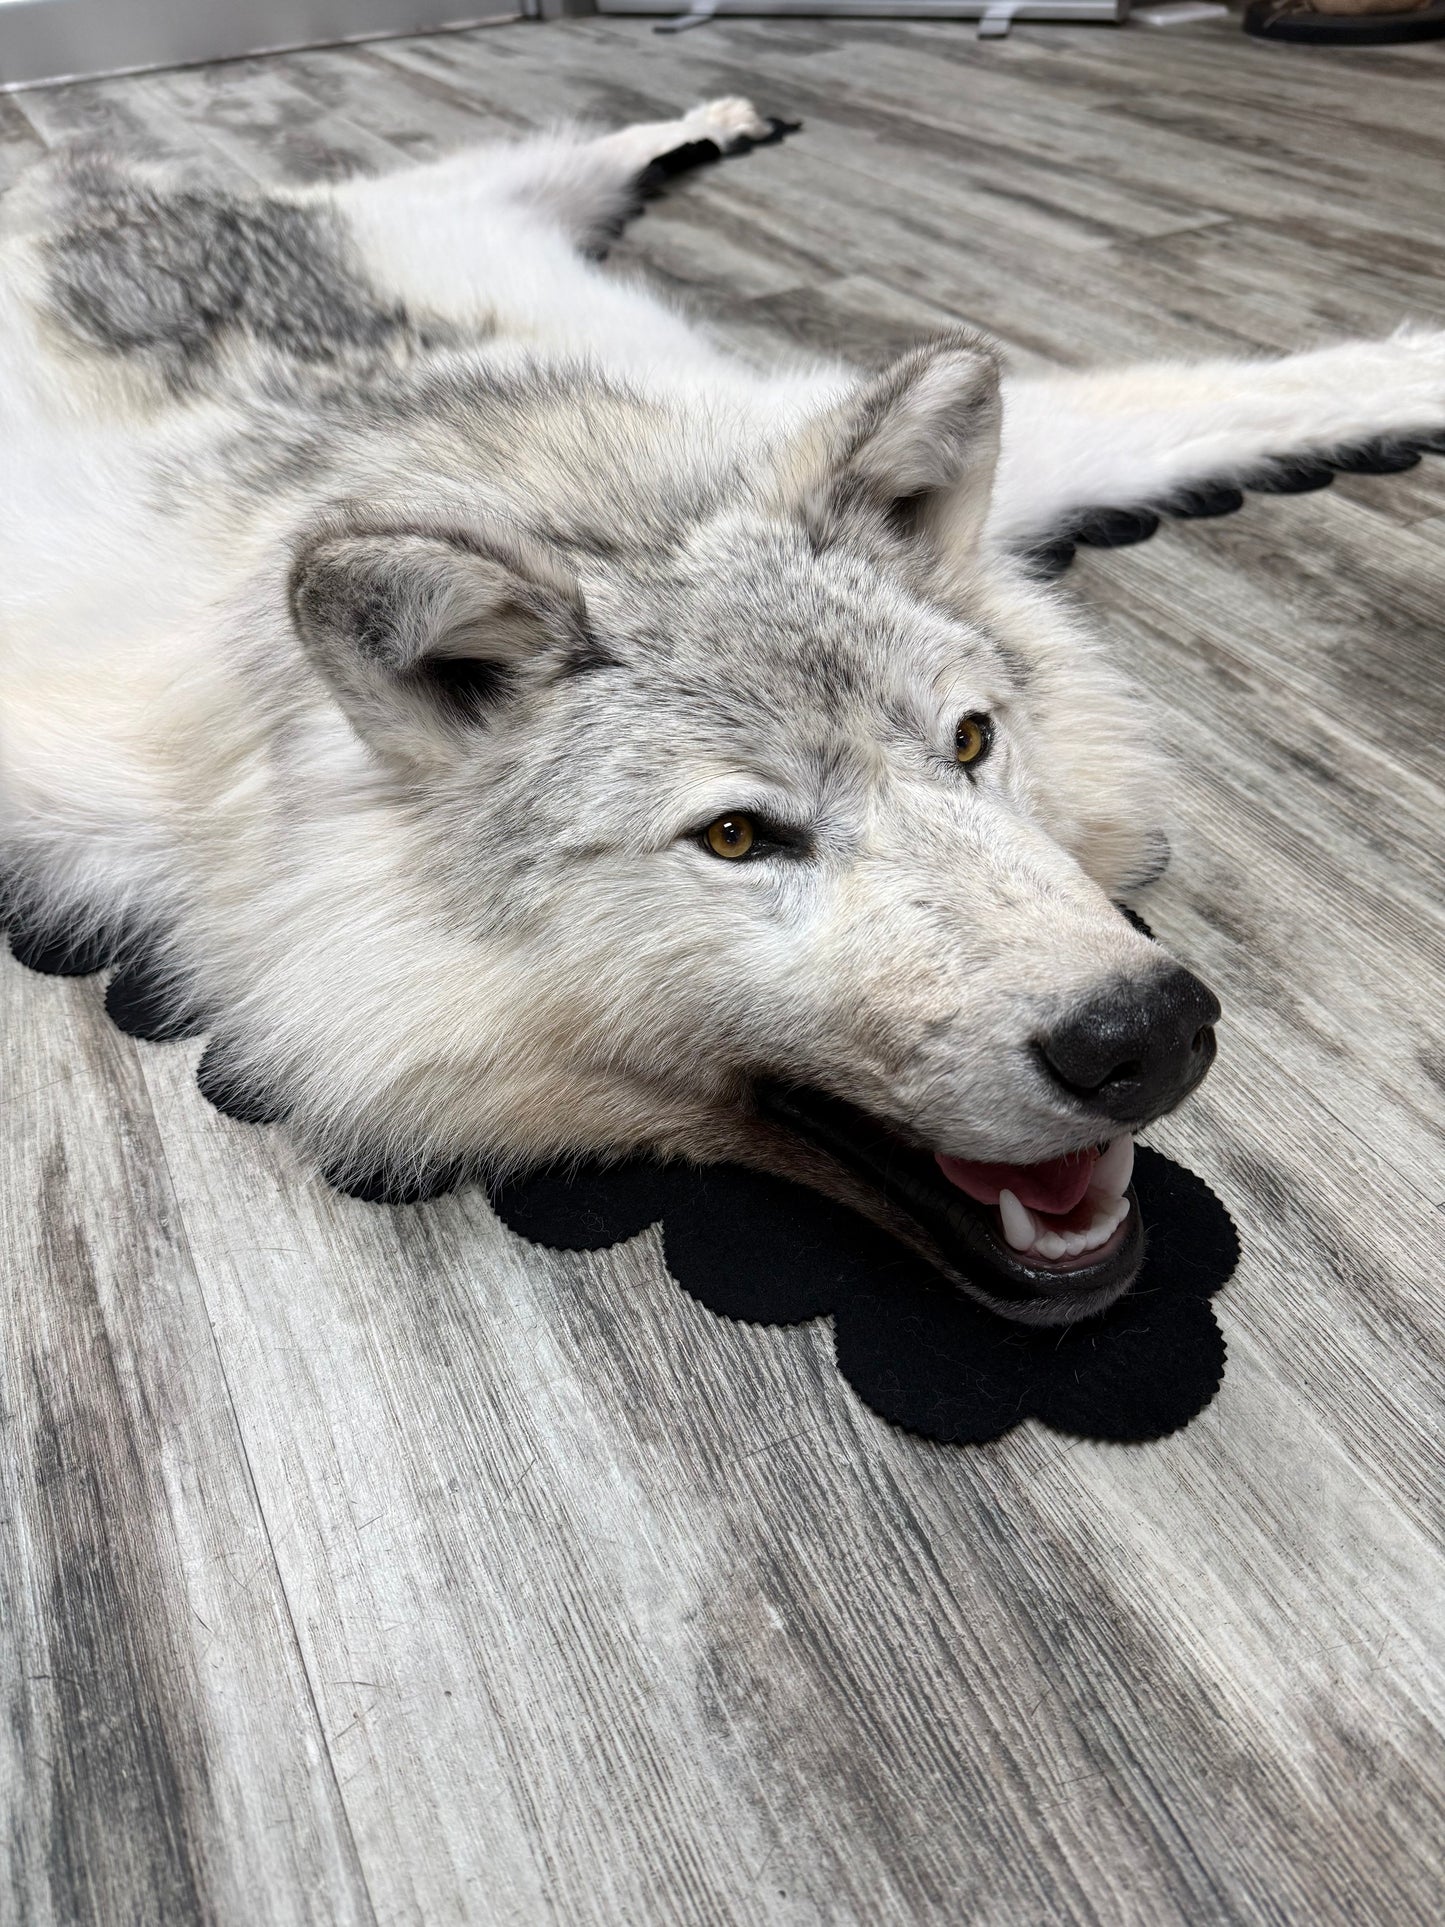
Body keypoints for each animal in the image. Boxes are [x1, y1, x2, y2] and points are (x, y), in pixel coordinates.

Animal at [1, 97, 1442, 1326]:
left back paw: (719, 114)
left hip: (499, 201)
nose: (1145, 1032)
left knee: (585, 144)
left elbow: (1236, 387)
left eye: (971, 742)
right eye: (739, 837)